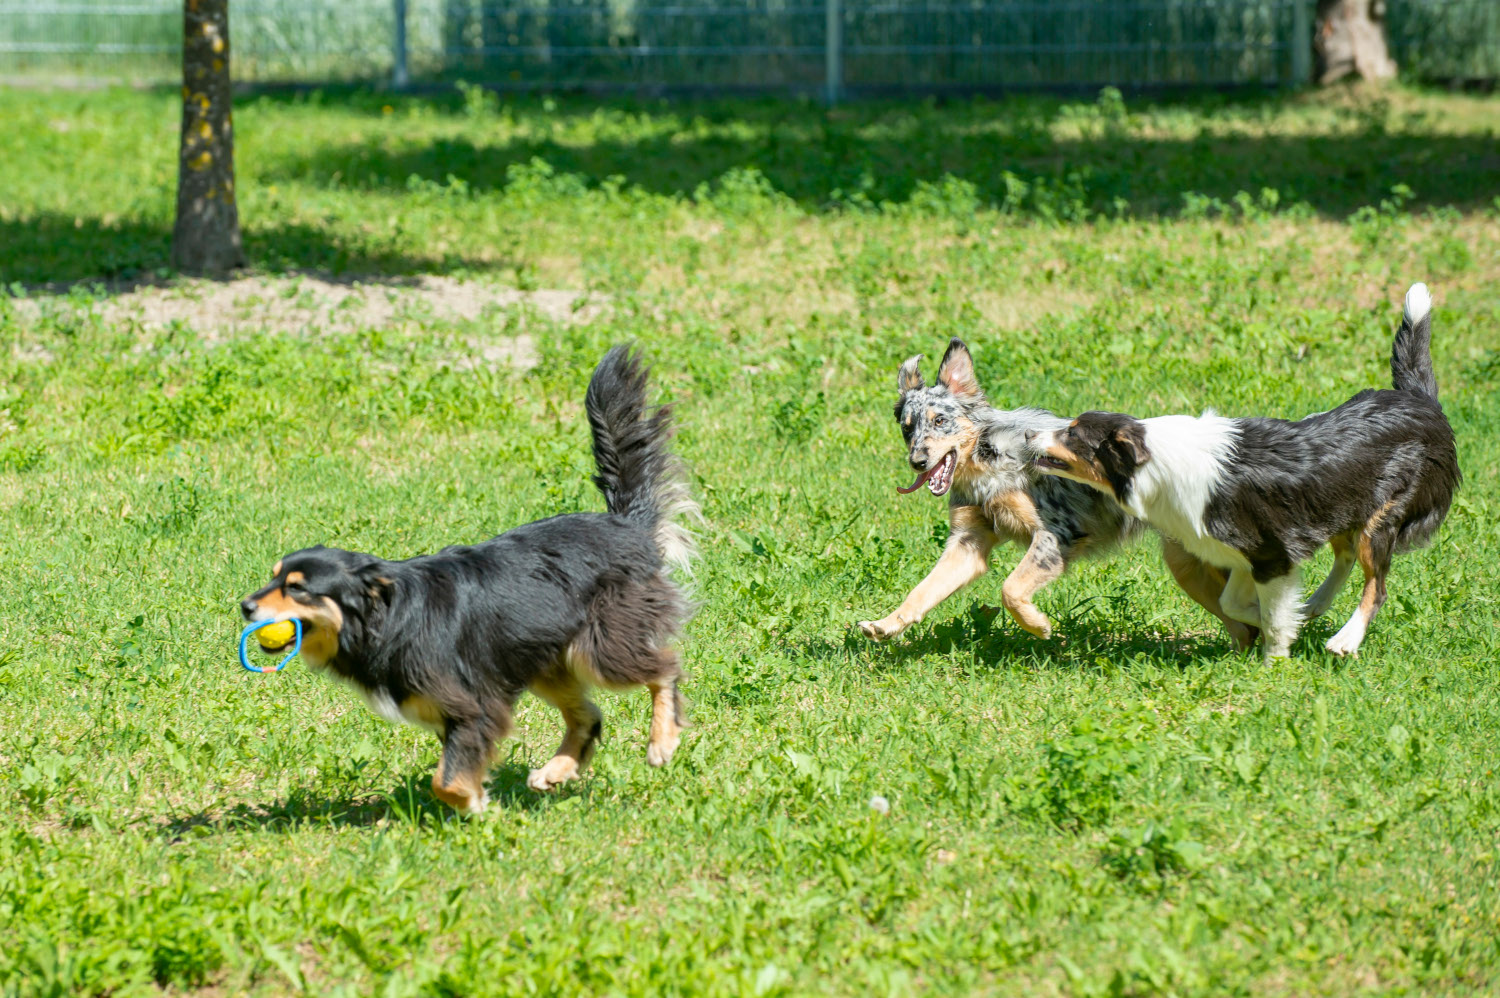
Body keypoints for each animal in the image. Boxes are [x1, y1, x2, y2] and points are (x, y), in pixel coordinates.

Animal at [238, 346, 696, 816]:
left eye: (296, 588)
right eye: (273, 577)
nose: (245, 606)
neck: (387, 617)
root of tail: (627, 525)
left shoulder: (473, 704)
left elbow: (446, 780)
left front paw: (479, 807)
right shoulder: (458, 708)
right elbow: (450, 774)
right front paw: (478, 800)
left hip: (599, 645)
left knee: (664, 669)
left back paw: (661, 741)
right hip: (539, 656)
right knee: (588, 715)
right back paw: (556, 770)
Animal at [1032, 283, 1452, 657]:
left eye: (1072, 434)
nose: (1029, 434)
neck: (1156, 459)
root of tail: (1418, 399)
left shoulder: (1272, 554)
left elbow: (1270, 617)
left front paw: (1275, 657)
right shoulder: (1238, 553)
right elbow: (1231, 602)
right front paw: (1279, 620)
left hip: (1384, 515)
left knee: (1376, 586)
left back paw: (1345, 640)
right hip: (1344, 506)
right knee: (1345, 554)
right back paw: (1316, 604)